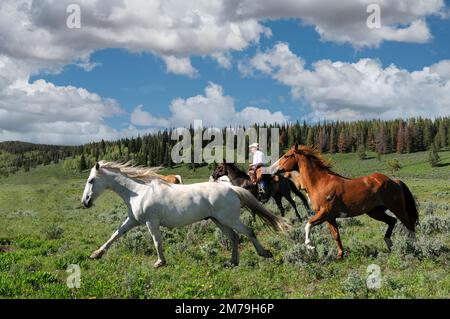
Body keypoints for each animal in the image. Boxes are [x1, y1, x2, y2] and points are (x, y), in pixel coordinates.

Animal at [81, 161, 288, 268]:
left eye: (91, 180)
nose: (85, 202)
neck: (139, 191)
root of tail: (231, 188)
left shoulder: (151, 222)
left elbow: (157, 241)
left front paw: (159, 262)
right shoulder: (133, 220)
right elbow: (115, 235)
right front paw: (96, 254)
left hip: (229, 219)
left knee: (248, 232)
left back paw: (265, 253)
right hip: (219, 220)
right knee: (234, 237)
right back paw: (232, 262)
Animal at [270, 144, 422, 258]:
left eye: (286, 155)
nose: (271, 169)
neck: (320, 182)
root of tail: (394, 181)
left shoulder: (324, 213)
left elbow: (308, 225)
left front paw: (310, 247)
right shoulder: (330, 217)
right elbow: (336, 235)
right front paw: (340, 255)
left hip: (397, 208)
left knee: (409, 225)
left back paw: (413, 247)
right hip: (375, 212)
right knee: (392, 221)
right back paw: (390, 244)